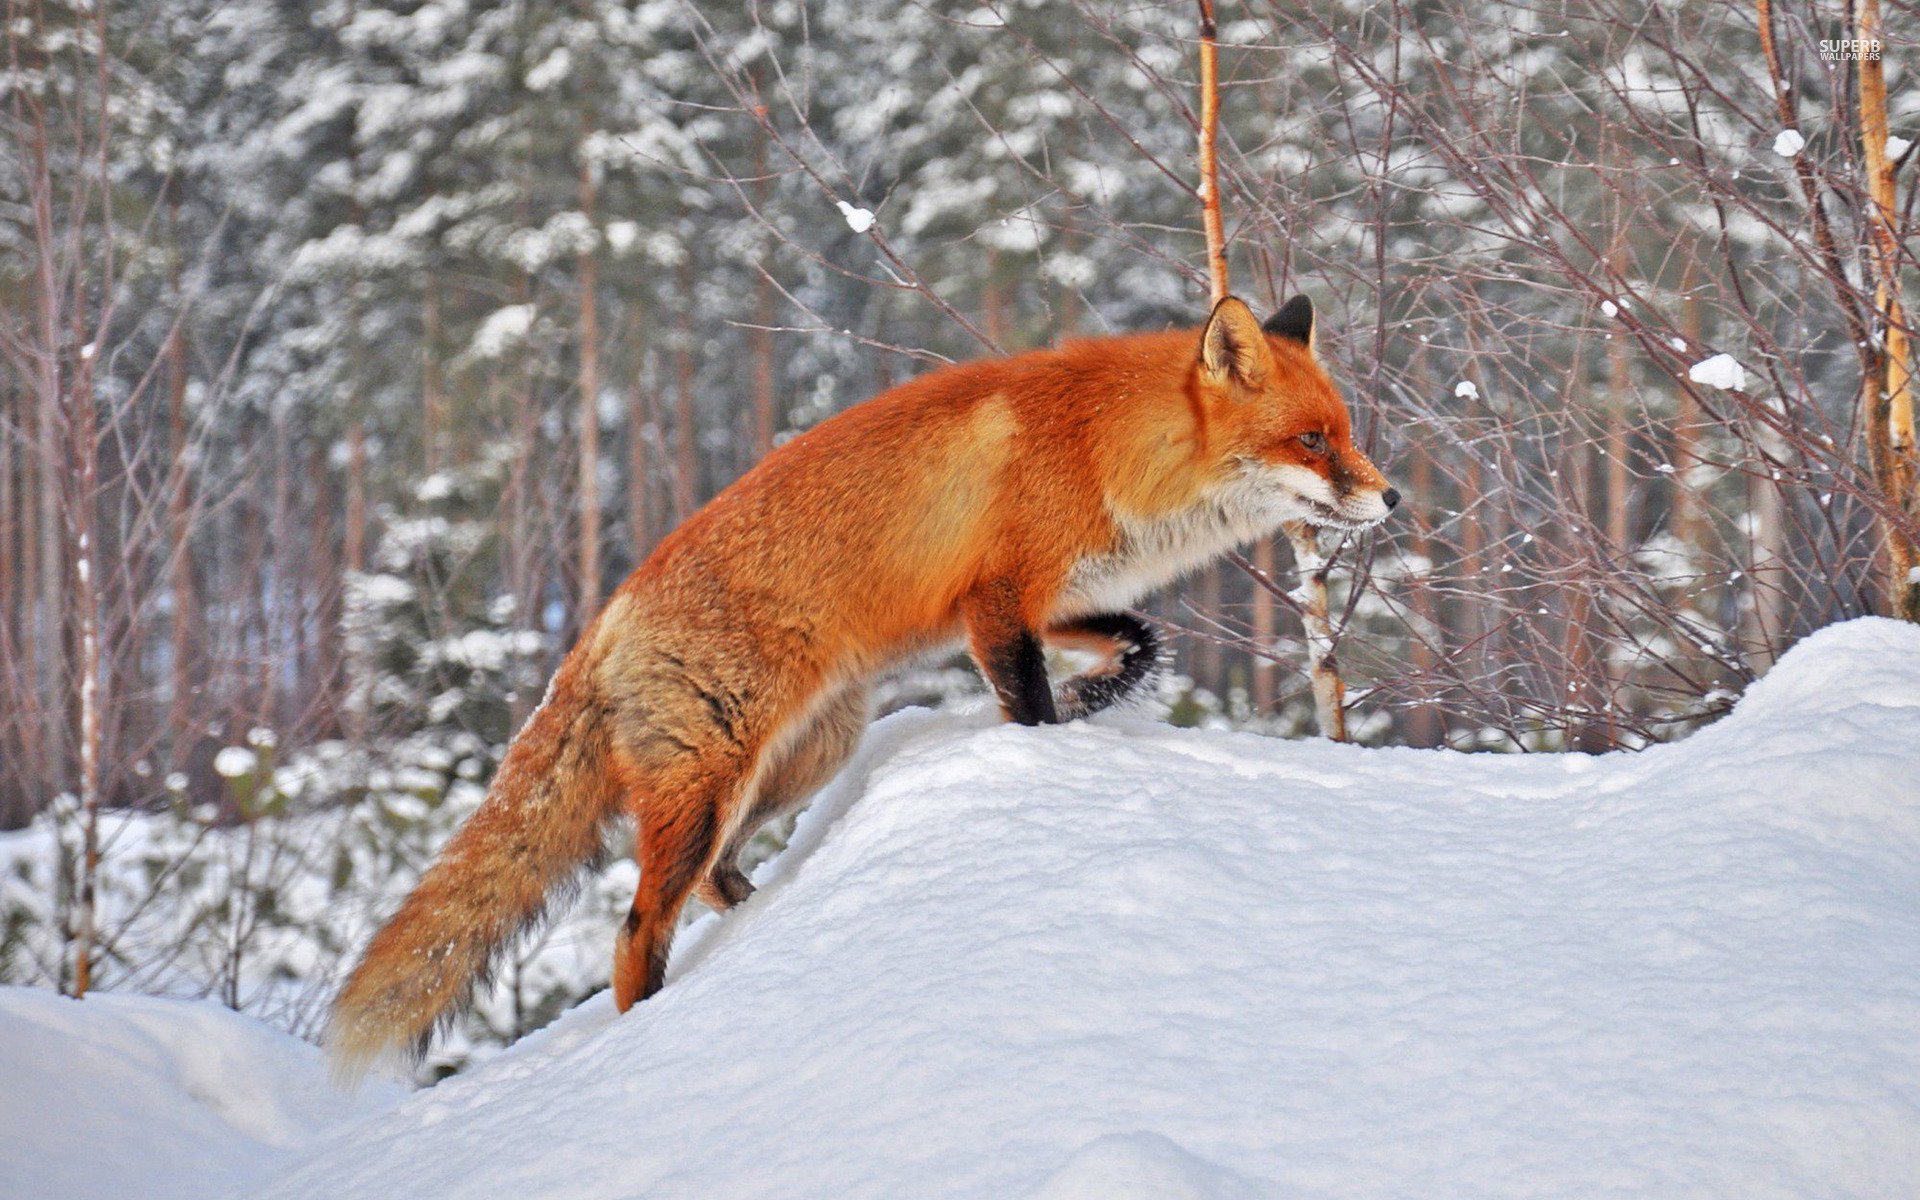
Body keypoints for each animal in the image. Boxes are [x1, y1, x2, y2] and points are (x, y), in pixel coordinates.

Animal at [326, 294, 1397, 1080]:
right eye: (1312, 441)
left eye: (1345, 431)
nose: (1391, 498)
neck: (1107, 449)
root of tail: (603, 620)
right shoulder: (996, 604)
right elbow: (1031, 706)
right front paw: (1050, 749)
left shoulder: (1040, 601)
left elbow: (1144, 643)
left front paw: (1101, 701)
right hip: (713, 784)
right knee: (636, 931)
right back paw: (651, 1034)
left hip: (800, 761)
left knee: (714, 883)